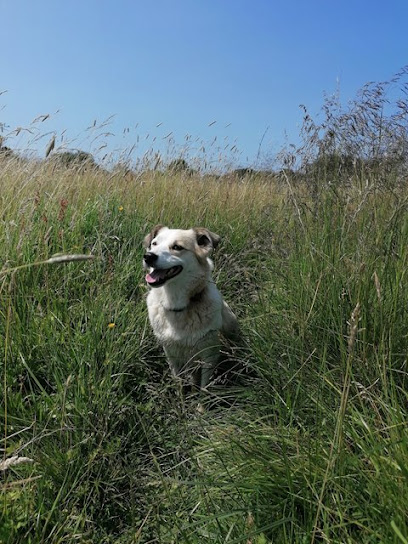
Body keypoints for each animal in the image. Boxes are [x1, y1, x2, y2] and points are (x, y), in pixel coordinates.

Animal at [143, 226, 239, 392]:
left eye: (177, 247)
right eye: (154, 244)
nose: (148, 256)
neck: (177, 305)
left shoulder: (209, 354)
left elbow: (204, 388)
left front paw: (200, 399)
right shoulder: (171, 353)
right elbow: (178, 381)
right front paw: (180, 395)